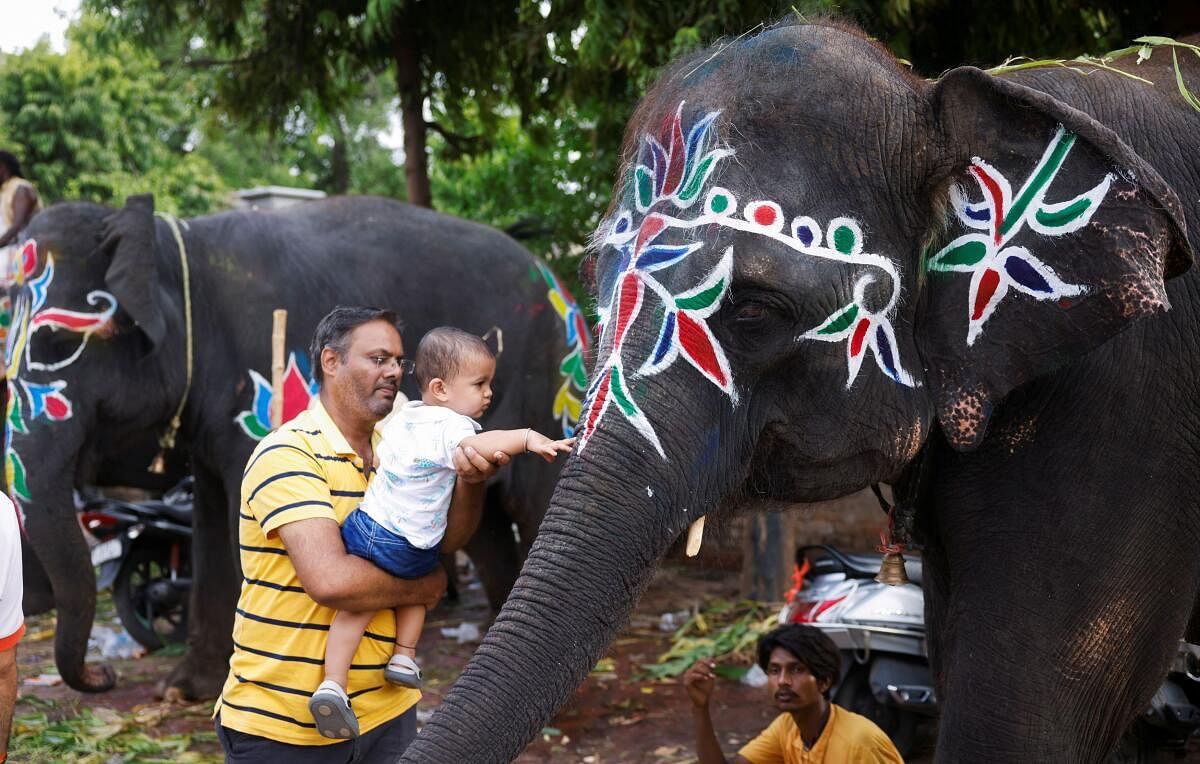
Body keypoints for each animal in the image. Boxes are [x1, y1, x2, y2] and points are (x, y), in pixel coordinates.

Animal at [7, 193, 588, 695]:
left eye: (55, 341)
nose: (103, 677)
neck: (180, 245)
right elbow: (212, 521)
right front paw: (185, 691)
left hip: (550, 378)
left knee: (531, 502)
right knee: (487, 527)